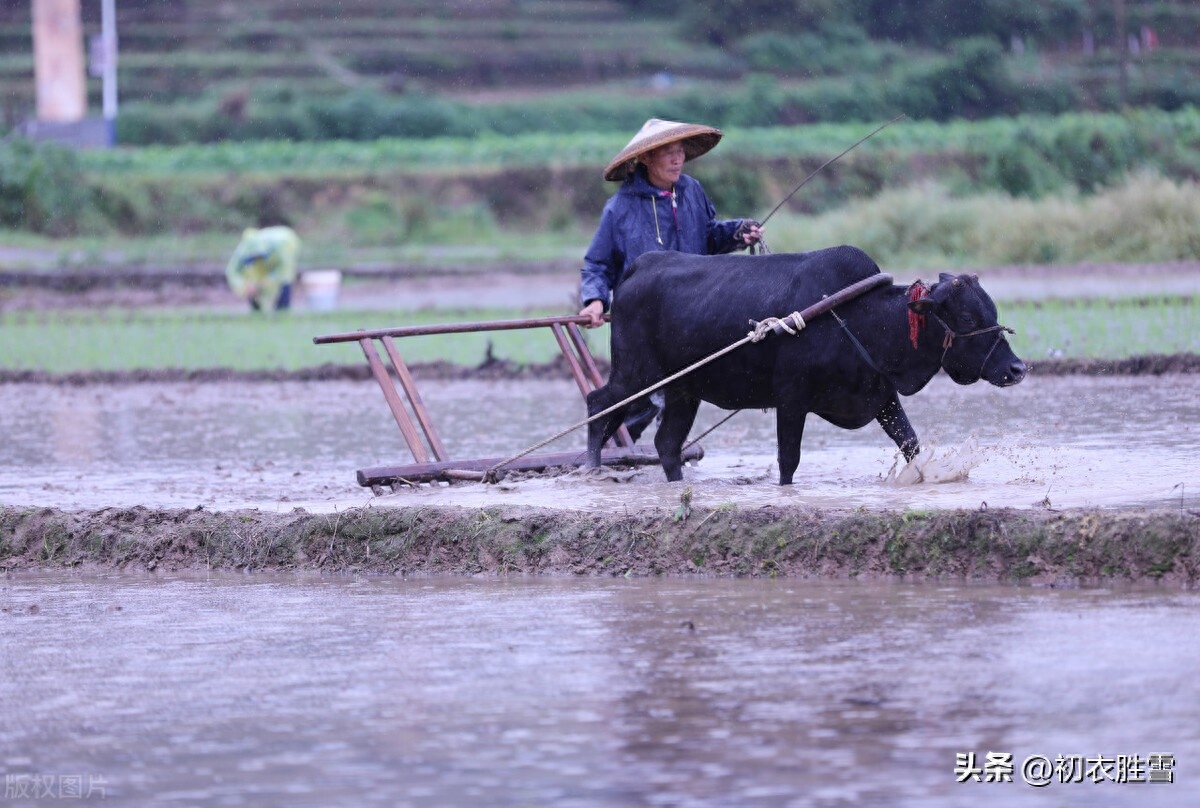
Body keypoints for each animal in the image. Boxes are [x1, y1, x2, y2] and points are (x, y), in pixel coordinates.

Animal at [585, 243, 1027, 485]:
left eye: (990, 310)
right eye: (967, 317)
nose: (1017, 369)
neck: (862, 320)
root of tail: (639, 265)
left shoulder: (882, 398)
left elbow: (911, 444)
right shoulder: (791, 399)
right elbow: (788, 461)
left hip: (683, 391)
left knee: (667, 444)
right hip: (634, 375)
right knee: (598, 403)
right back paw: (591, 467)